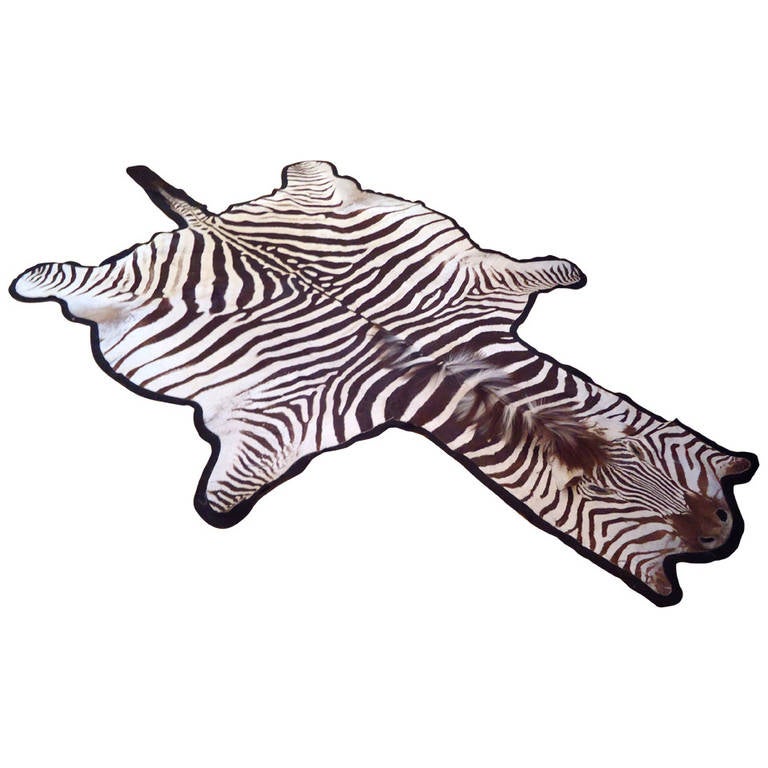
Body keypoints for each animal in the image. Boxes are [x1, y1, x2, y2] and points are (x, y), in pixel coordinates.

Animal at [10, 161, 757, 604]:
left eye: (712, 503)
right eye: (602, 508)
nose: (719, 537)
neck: (453, 372)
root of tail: (216, 225)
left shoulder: (482, 289)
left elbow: (542, 272)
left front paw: (567, 273)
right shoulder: (281, 424)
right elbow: (226, 494)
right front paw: (219, 510)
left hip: (328, 203)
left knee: (312, 172)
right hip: (111, 288)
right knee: (68, 279)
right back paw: (30, 279)